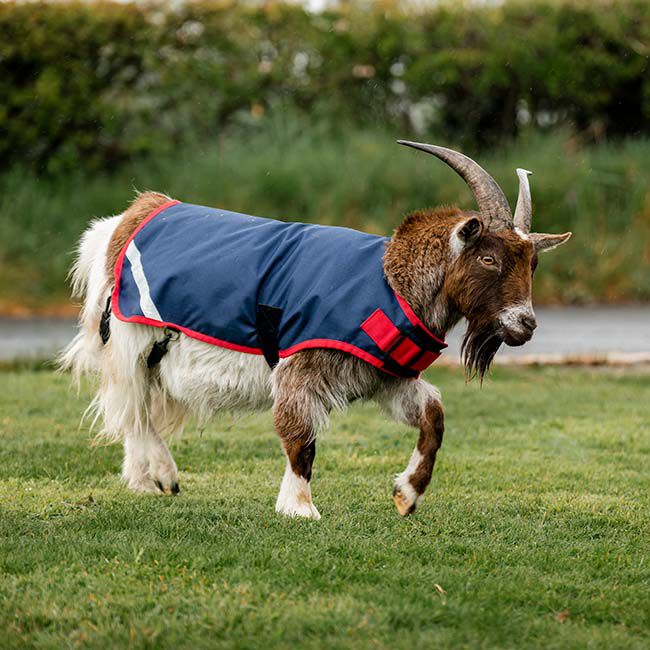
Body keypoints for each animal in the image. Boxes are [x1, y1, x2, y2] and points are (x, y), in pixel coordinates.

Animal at [60, 142, 571, 519]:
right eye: (488, 258)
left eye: (533, 262)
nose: (524, 324)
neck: (392, 282)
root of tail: (125, 220)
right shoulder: (302, 365)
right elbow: (299, 436)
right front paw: (299, 507)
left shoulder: (383, 375)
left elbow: (433, 417)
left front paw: (407, 494)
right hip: (129, 336)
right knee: (131, 405)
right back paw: (164, 474)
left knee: (137, 405)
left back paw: (144, 480)